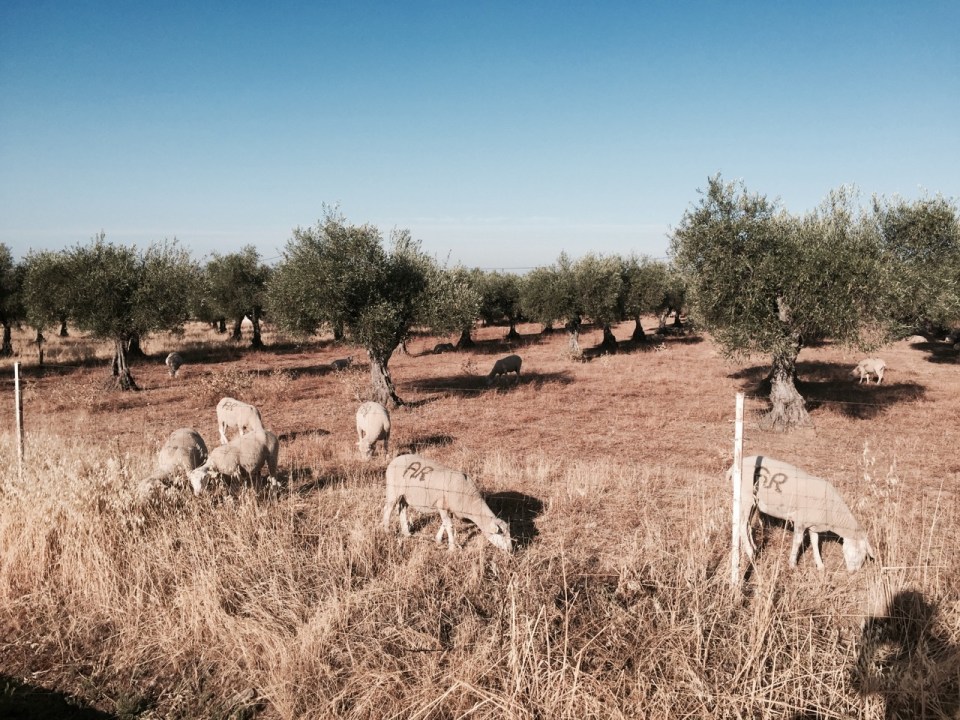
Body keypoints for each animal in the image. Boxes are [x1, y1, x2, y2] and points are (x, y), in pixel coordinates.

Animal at [382, 453, 512, 552]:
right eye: (501, 534)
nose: (511, 550)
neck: (470, 501)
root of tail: (395, 459)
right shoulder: (442, 505)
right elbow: (449, 526)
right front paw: (452, 548)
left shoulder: (449, 509)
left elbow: (444, 524)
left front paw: (438, 539)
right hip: (393, 490)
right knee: (388, 510)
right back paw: (387, 531)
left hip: (405, 495)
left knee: (402, 509)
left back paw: (406, 533)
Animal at [728, 455, 875, 572]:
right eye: (860, 552)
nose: (853, 572)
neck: (833, 512)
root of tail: (733, 467)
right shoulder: (800, 520)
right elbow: (798, 542)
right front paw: (792, 564)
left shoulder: (813, 523)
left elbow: (815, 543)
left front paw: (820, 565)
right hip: (745, 498)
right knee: (742, 525)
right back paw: (750, 551)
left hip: (754, 502)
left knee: (747, 524)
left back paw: (754, 546)